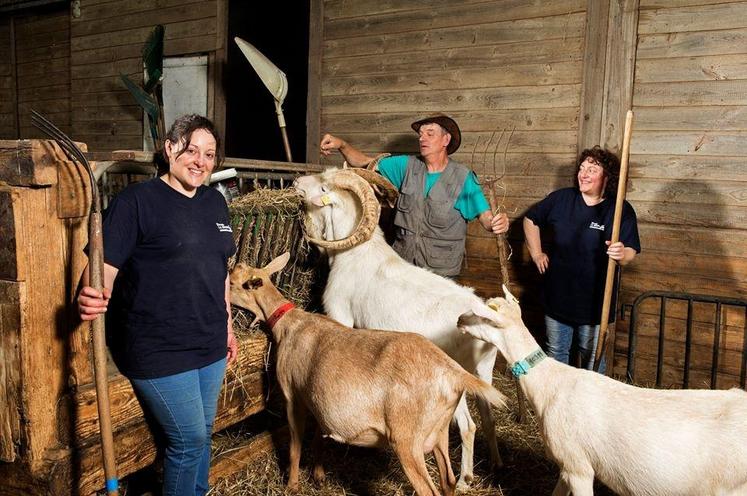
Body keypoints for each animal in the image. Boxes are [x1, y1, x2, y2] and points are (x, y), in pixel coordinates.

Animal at [229, 254, 508, 494]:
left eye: (232, 283)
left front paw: (292, 485)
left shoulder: (292, 395)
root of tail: (453, 372)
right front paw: (318, 476)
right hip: (439, 430)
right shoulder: (317, 399)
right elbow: (319, 438)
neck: (290, 323)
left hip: (408, 441)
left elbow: (295, 446)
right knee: (447, 480)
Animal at [296, 169, 506, 486]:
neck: (354, 254)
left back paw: (464, 479)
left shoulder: (341, 314)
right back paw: (494, 466)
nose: (297, 183)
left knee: (469, 426)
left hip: (456, 380)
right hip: (483, 371)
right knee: (488, 417)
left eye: (323, 188)